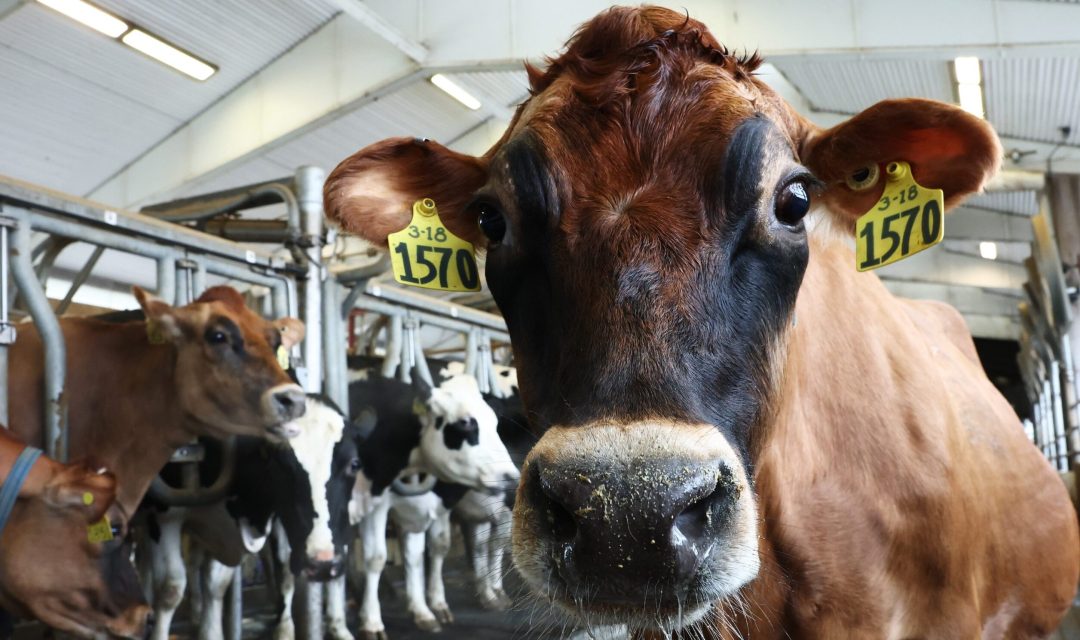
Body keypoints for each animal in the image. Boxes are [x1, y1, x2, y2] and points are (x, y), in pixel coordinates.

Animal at [137, 395, 358, 638]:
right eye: (280, 463)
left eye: (354, 464)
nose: (323, 564)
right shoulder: (164, 514)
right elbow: (170, 588)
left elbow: (218, 584)